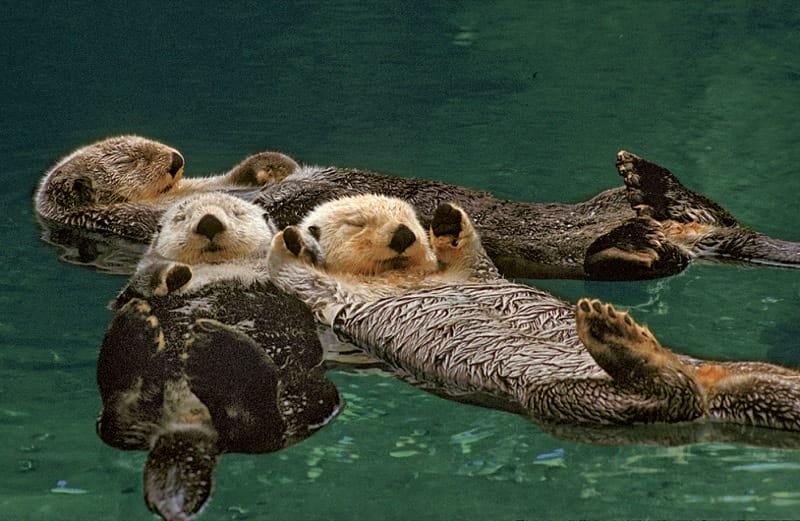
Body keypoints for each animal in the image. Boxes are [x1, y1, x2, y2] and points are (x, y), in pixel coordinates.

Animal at [98, 192, 341, 521]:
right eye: (182, 217)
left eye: (237, 212)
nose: (209, 222)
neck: (217, 267)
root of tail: (187, 426)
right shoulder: (128, 292)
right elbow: (135, 286)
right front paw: (173, 273)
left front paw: (295, 239)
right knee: (116, 426)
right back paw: (134, 335)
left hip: (312, 391)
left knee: (266, 431)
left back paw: (226, 360)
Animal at [266, 195, 800, 440]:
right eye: (357, 223)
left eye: (408, 218)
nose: (405, 234)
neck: (405, 279)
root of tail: (712, 390)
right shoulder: (330, 297)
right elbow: (295, 277)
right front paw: (289, 240)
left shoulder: (471, 272)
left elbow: (471, 254)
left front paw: (449, 221)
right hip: (560, 398)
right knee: (670, 398)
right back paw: (615, 335)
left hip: (756, 376)